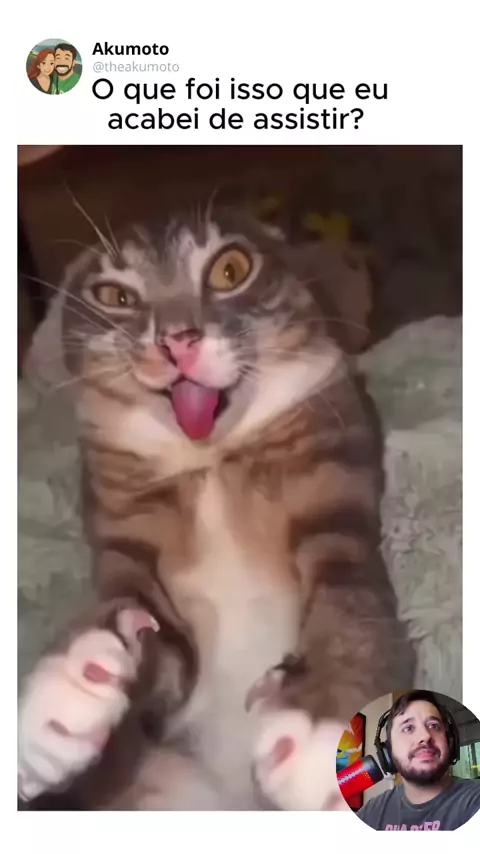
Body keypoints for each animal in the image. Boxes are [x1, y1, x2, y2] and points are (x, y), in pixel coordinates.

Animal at [18, 205, 415, 810]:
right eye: (115, 295)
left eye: (230, 270)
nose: (176, 341)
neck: (211, 463)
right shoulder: (125, 531)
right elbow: (133, 613)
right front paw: (64, 691)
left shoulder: (336, 486)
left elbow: (350, 596)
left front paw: (326, 721)